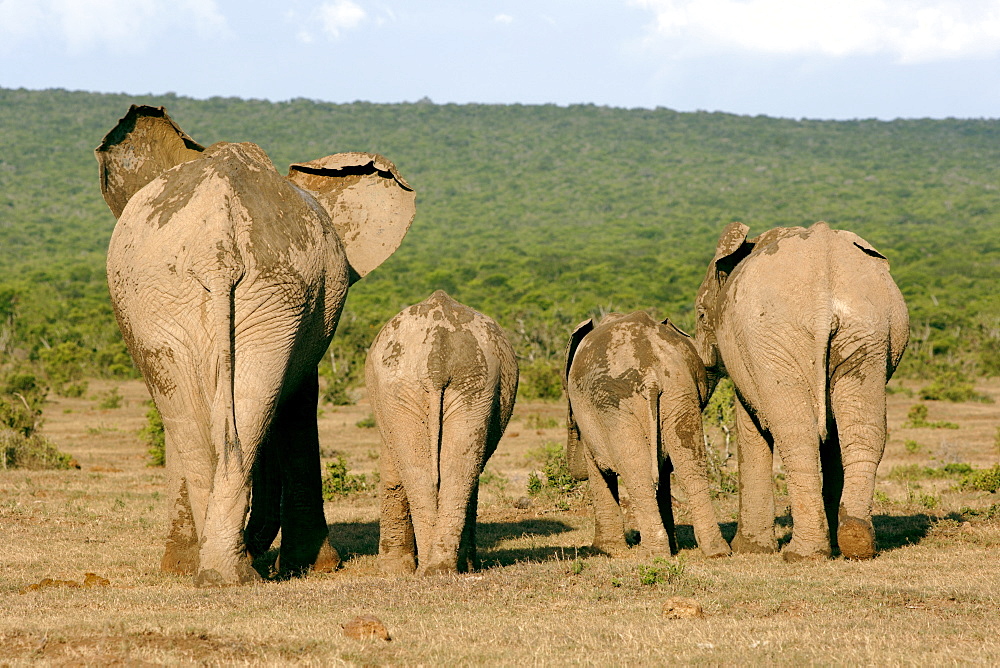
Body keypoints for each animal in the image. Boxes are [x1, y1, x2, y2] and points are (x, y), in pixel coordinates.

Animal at [96, 104, 414, 584]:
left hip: (249, 294)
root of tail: (218, 244)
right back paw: (223, 572)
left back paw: (222, 574)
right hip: (180, 293)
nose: (258, 536)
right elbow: (297, 404)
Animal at [368, 290, 524, 576]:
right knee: (454, 469)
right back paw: (438, 569)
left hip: (433, 383)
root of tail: (437, 357)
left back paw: (434, 569)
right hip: (458, 381)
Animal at [568, 312, 732, 560]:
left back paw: (653, 554)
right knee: (690, 467)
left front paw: (602, 550)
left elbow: (598, 469)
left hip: (614, 403)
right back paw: (716, 552)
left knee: (637, 471)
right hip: (678, 392)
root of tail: (651, 374)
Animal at [696, 220, 908, 560]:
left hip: (774, 336)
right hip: (869, 330)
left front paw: (750, 551)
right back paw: (855, 541)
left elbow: (751, 426)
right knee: (861, 429)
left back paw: (803, 553)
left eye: (702, 315)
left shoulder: (746, 356)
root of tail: (822, 285)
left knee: (796, 434)